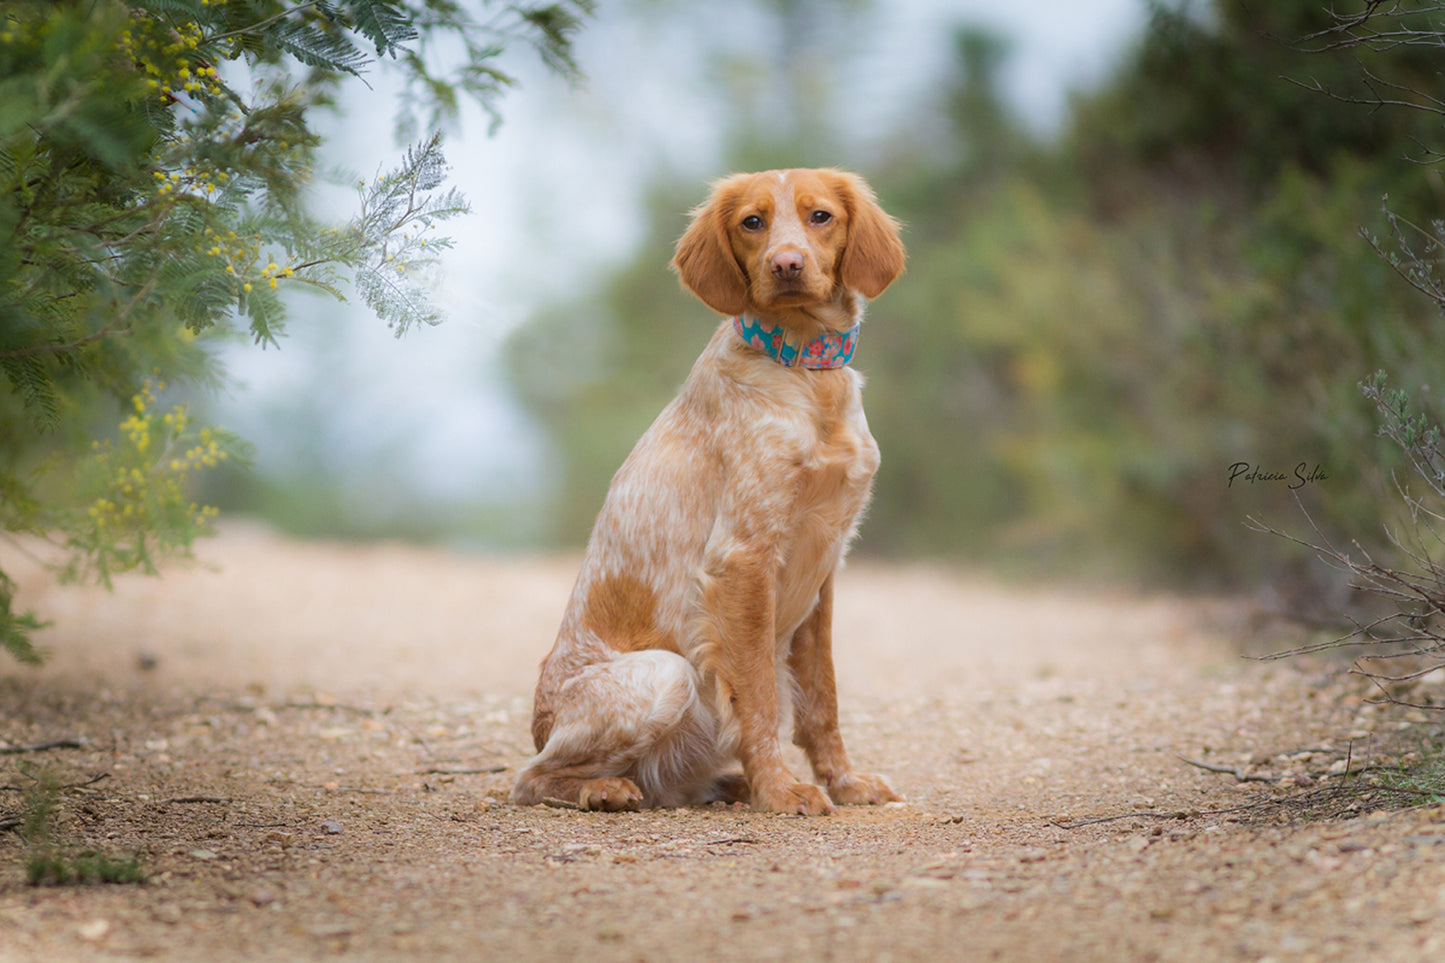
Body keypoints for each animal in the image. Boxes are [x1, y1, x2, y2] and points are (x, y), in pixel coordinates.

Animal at [514, 168, 901, 815]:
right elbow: (760, 699)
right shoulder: (743, 559)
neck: (802, 369)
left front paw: (844, 783)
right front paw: (781, 790)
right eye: (753, 222)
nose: (787, 264)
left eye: (820, 216)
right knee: (530, 778)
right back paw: (605, 789)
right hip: (665, 674)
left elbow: (821, 701)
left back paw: (725, 786)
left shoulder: (825, 563)